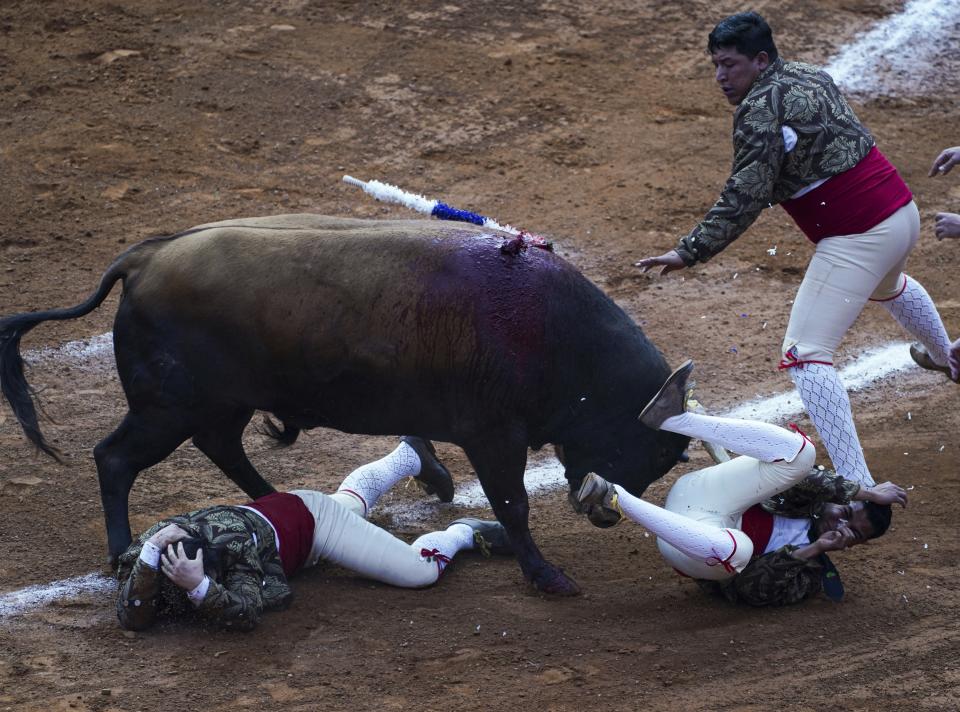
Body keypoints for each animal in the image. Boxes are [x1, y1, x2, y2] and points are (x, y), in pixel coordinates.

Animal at [1, 214, 688, 592]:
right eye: (651, 449)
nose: (605, 513)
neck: (555, 336)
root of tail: (143, 257)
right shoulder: (493, 435)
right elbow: (513, 506)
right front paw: (547, 578)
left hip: (219, 404)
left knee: (219, 447)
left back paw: (273, 501)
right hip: (166, 410)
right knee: (114, 457)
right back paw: (121, 553)